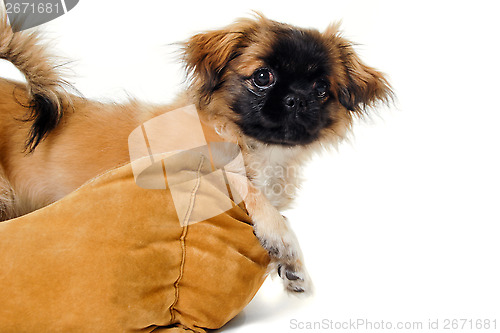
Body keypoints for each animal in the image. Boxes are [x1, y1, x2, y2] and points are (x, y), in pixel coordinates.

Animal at [0, 13, 390, 294]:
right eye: (262, 77)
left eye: (322, 88)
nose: (298, 99)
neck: (250, 145)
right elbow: (245, 187)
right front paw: (281, 237)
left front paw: (289, 266)